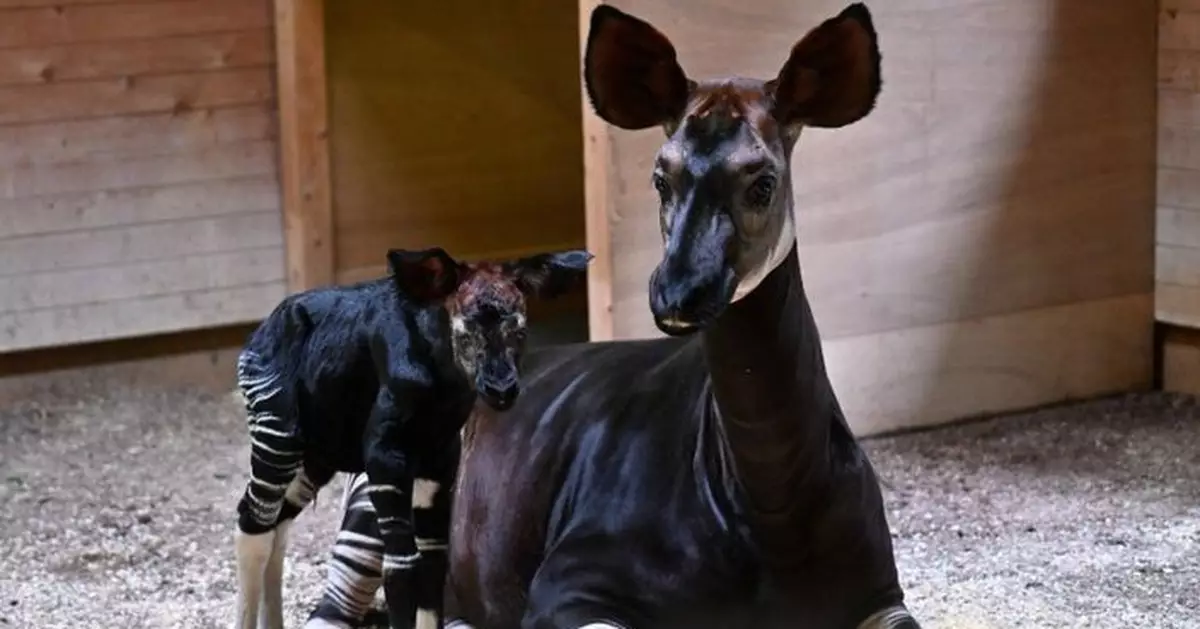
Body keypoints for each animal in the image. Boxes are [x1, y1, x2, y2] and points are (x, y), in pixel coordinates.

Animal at [229, 246, 590, 629]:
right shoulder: (385, 455)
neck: (442, 387)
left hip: (315, 455)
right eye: (464, 333)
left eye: (519, 333)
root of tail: (262, 330)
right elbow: (401, 567)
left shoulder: (440, 461)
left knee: (276, 525)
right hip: (277, 433)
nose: (501, 390)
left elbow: (432, 566)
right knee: (254, 523)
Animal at [312, 2, 916, 624]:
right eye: (660, 178)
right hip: (376, 493)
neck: (772, 505)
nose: (678, 293)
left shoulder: (879, 594)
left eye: (763, 183)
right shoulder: (567, 586)